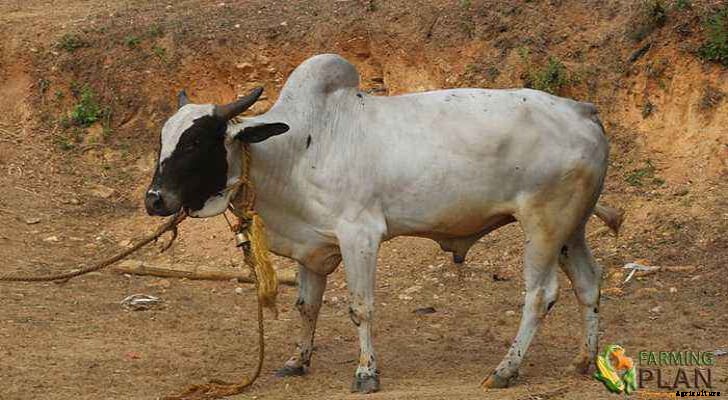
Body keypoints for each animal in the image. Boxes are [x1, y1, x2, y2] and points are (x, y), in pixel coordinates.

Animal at [145, 54, 619, 393]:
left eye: (196, 141)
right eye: (163, 141)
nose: (154, 199)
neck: (298, 148)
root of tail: (583, 111)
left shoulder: (360, 235)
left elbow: (361, 307)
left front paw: (366, 374)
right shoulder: (311, 248)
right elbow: (306, 306)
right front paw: (298, 361)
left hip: (543, 224)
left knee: (540, 295)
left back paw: (505, 370)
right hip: (571, 229)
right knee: (588, 282)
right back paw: (585, 360)